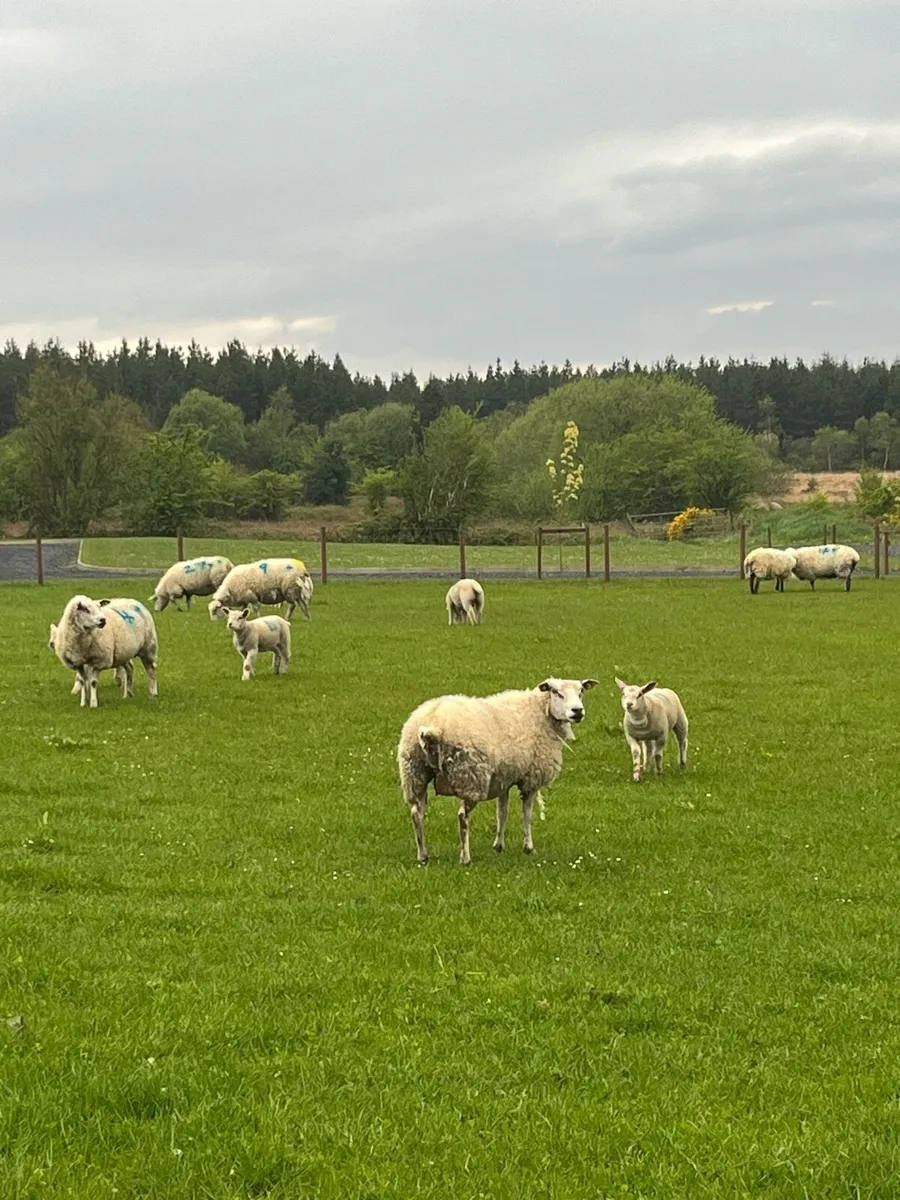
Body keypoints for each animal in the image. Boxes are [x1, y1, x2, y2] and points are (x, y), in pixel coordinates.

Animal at [397, 677, 598, 865]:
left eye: (581, 691)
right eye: (556, 692)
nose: (577, 711)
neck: (539, 712)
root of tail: (432, 728)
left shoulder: (504, 778)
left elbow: (502, 812)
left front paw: (499, 845)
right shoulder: (530, 779)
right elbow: (527, 814)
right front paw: (529, 847)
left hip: (414, 773)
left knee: (417, 813)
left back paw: (423, 855)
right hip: (470, 777)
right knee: (462, 817)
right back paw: (465, 858)